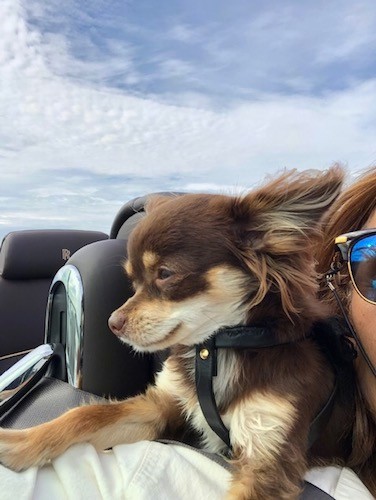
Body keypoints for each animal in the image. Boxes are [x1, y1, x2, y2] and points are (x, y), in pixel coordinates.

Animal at [0, 168, 346, 500]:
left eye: (165, 274)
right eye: (133, 280)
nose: (112, 322)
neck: (216, 348)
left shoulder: (267, 460)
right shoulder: (163, 406)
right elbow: (86, 415)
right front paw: (18, 441)